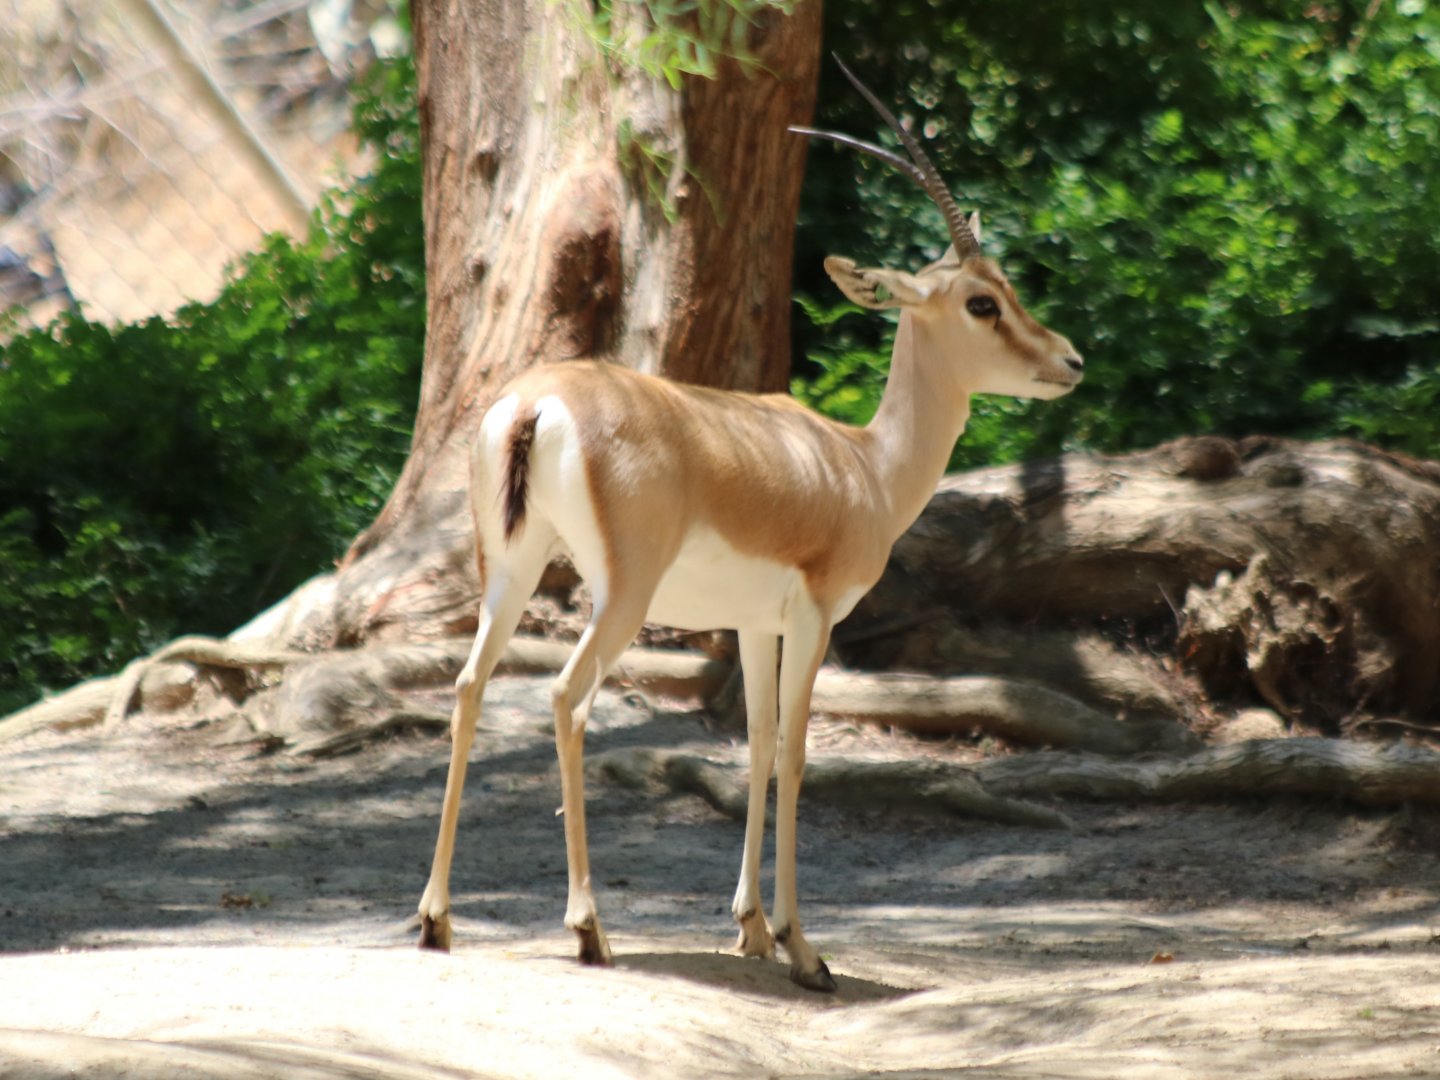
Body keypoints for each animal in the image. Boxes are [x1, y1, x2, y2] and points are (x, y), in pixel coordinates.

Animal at [416, 58, 1083, 992]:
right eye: (982, 302)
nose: (1070, 361)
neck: (861, 467)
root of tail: (537, 403)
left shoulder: (751, 623)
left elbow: (759, 743)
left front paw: (753, 929)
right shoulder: (815, 616)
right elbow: (799, 752)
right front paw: (805, 949)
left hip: (510, 568)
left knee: (471, 686)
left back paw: (436, 919)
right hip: (620, 595)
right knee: (566, 695)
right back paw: (589, 929)